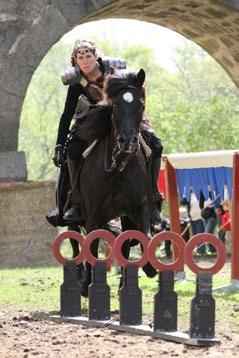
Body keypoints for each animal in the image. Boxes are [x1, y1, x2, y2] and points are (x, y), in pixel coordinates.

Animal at [74, 68, 158, 296]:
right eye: (114, 106)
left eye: (141, 105)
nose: (127, 142)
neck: (117, 168)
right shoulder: (93, 213)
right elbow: (91, 246)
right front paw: (87, 286)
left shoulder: (139, 207)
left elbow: (143, 237)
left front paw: (149, 268)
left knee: (125, 244)